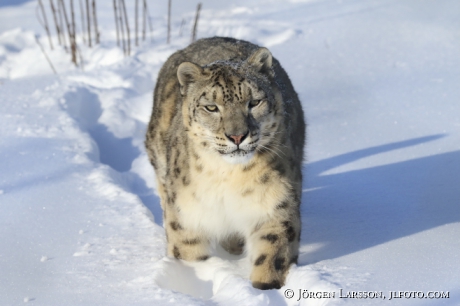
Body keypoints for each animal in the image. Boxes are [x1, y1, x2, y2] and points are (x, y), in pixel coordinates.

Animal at [146, 36, 306, 290]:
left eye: (254, 102)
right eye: (211, 107)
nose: (238, 136)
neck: (228, 177)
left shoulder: (276, 209)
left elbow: (271, 258)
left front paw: (263, 289)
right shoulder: (185, 218)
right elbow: (188, 255)